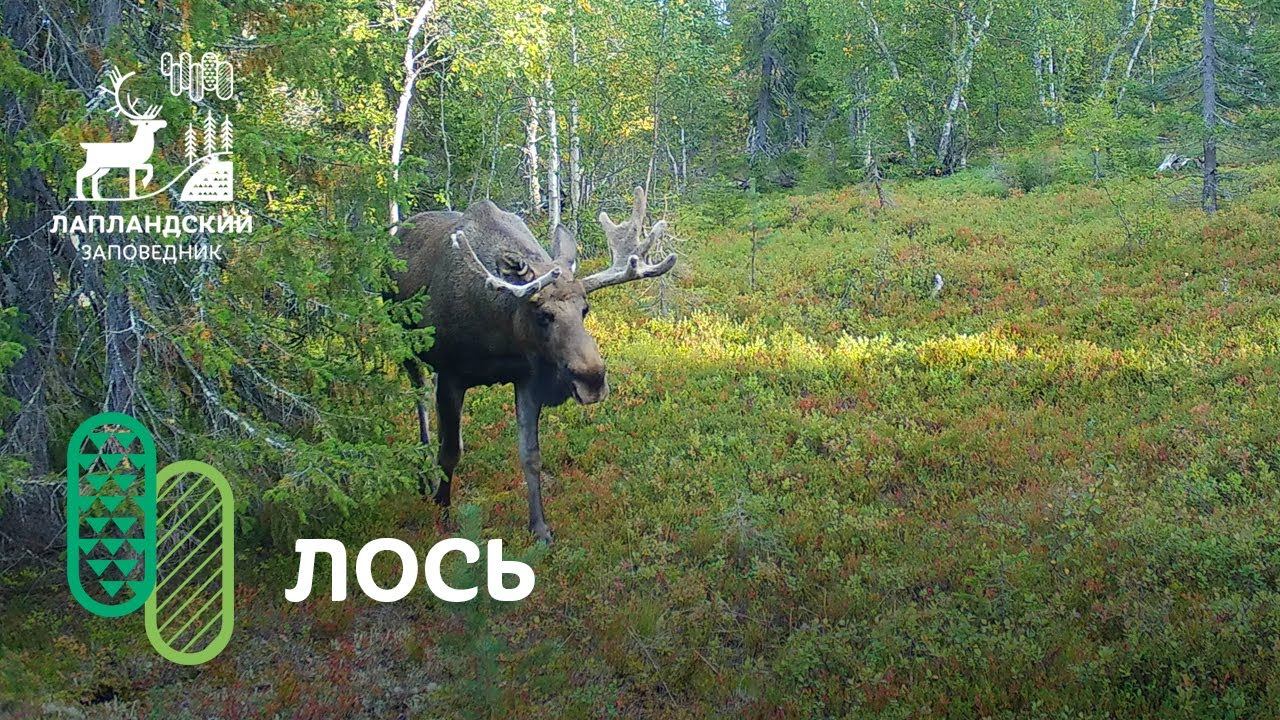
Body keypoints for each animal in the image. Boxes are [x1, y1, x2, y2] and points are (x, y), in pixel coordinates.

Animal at [76, 67, 167, 200]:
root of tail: (87, 146)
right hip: (93, 163)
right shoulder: (134, 164)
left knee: (95, 177)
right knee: (80, 173)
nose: (163, 123)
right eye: (146, 123)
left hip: (104, 167)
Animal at [393, 187, 675, 543]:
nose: (592, 380)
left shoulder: (526, 378)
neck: (499, 335)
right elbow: (450, 454)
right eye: (544, 315)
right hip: (405, 344)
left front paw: (539, 527)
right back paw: (424, 476)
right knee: (421, 402)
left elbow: (531, 454)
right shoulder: (451, 373)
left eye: (585, 309)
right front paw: (442, 513)